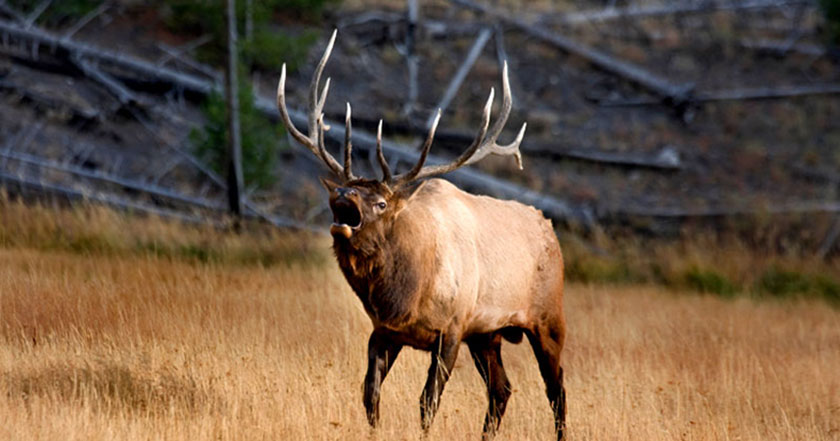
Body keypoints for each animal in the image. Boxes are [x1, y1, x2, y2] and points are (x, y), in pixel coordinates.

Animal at [278, 31, 568, 440]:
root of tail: (550, 228)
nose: (343, 194)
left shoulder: (452, 329)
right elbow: (369, 395)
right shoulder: (385, 331)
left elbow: (427, 402)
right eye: (346, 191)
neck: (406, 294)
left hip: (547, 318)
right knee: (502, 390)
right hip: (487, 334)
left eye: (381, 202)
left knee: (556, 388)